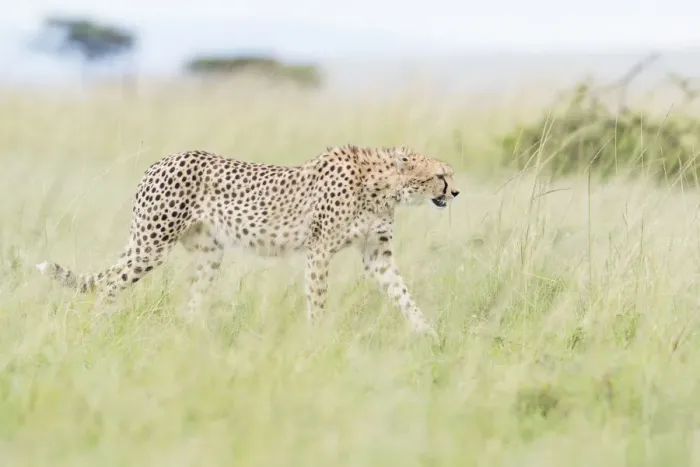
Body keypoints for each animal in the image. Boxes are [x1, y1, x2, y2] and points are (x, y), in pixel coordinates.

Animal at [36, 144, 460, 334]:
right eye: (441, 175)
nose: (456, 192)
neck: (385, 186)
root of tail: (162, 160)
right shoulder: (319, 249)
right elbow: (318, 297)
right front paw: (318, 337)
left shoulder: (377, 255)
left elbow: (402, 293)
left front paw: (427, 332)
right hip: (151, 246)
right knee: (109, 283)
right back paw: (96, 327)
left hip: (207, 253)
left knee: (191, 300)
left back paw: (194, 336)